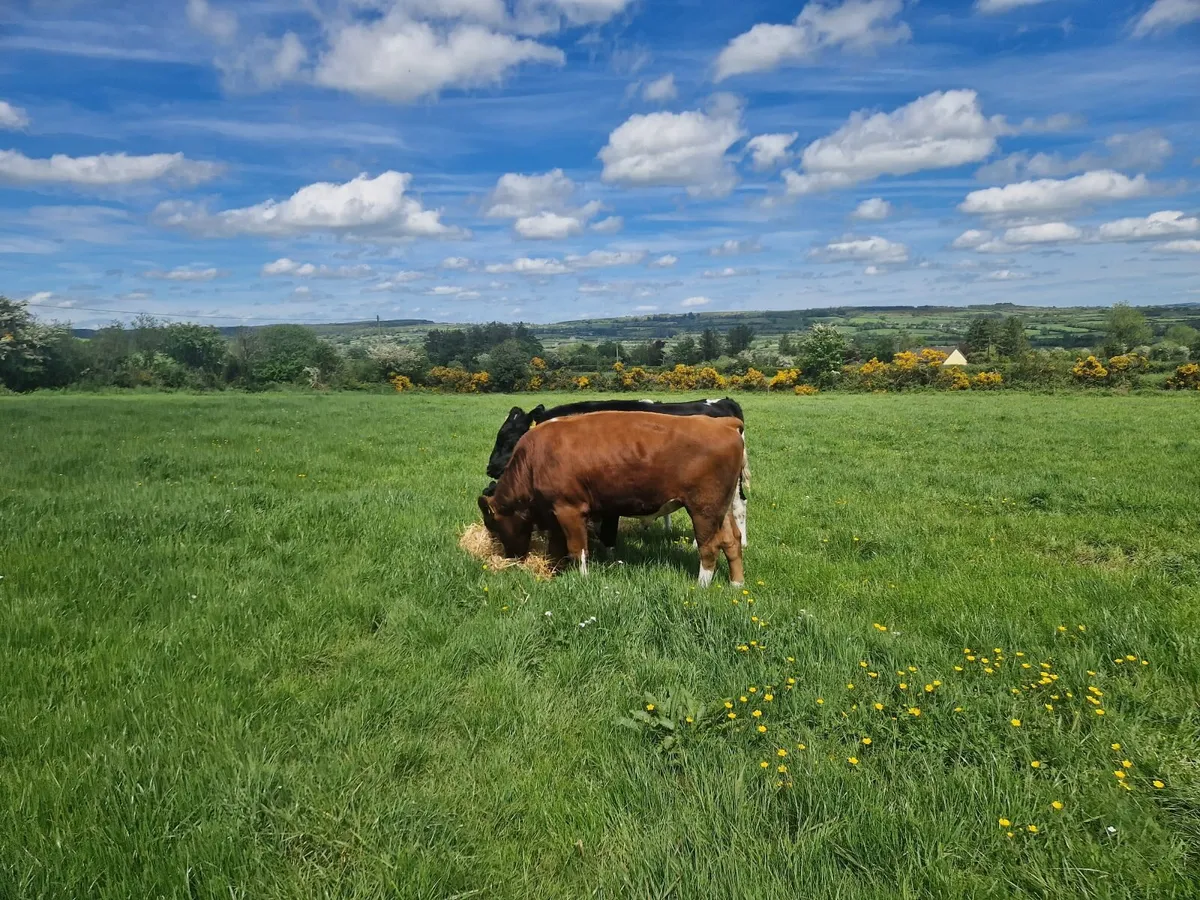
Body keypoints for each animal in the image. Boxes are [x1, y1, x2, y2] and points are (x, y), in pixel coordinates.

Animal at [478, 411, 745, 587]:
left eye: (493, 526)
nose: (511, 558)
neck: (534, 459)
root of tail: (723, 422)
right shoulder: (554, 513)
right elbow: (557, 547)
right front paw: (554, 572)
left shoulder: (570, 509)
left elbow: (577, 548)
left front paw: (582, 580)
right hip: (722, 508)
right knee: (732, 541)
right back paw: (736, 585)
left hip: (703, 509)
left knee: (709, 546)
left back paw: (701, 586)